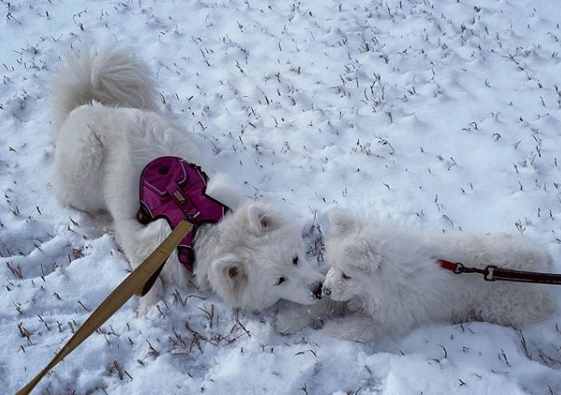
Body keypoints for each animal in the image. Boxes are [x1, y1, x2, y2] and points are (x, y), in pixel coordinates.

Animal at [52, 45, 324, 312]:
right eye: (279, 280)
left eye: (295, 259)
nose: (319, 289)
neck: (199, 227)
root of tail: (89, 105)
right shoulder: (140, 240)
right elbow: (145, 276)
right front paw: (150, 305)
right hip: (85, 164)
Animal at [274, 210, 552, 344]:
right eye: (331, 266)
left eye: (347, 275)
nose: (326, 289)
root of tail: (544, 265)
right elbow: (320, 307)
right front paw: (289, 320)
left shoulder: (393, 316)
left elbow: (359, 328)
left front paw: (330, 329)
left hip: (505, 308)